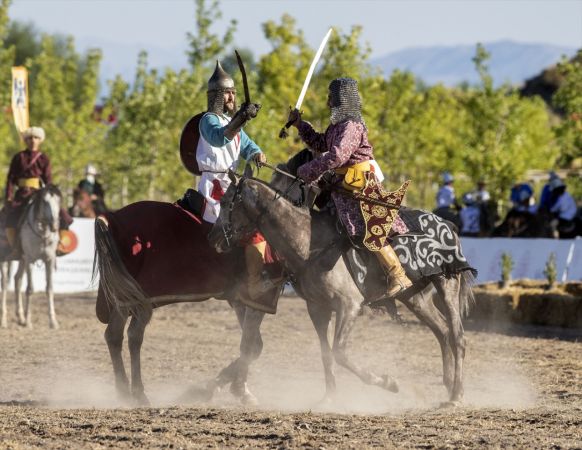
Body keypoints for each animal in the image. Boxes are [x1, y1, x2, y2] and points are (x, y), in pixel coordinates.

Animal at [0, 185, 62, 328]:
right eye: (45, 201)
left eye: (58, 201)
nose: (55, 226)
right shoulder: (30, 260)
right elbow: (30, 289)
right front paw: (28, 321)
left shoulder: (49, 260)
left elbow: (49, 288)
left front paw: (53, 321)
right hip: (5, 259)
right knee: (4, 284)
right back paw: (4, 320)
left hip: (21, 259)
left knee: (17, 280)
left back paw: (20, 317)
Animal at [210, 172, 480, 404]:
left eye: (225, 202)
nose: (214, 239)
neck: (309, 243)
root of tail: (448, 224)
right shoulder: (317, 308)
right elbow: (326, 354)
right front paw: (329, 397)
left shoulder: (349, 306)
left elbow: (339, 352)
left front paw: (387, 382)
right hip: (416, 297)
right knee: (442, 331)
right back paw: (448, 384)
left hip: (447, 283)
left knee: (457, 336)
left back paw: (456, 395)